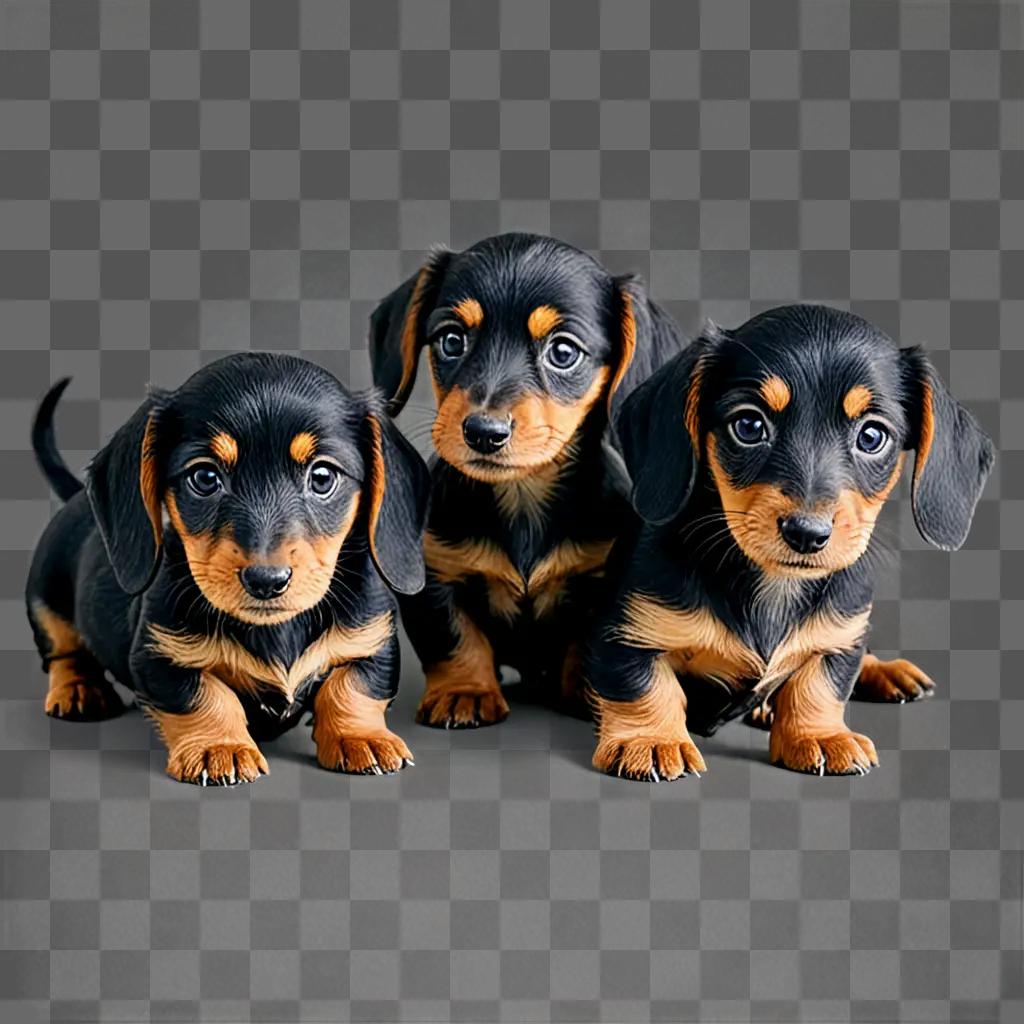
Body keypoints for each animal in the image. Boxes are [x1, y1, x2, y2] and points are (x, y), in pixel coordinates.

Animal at [25, 352, 430, 782]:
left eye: (323, 477)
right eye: (204, 477)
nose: (266, 581)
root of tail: (76, 497)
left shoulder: (372, 638)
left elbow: (353, 685)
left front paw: (361, 737)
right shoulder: (159, 653)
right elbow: (205, 695)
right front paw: (218, 747)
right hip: (44, 599)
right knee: (63, 653)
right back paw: (78, 689)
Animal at [368, 232, 679, 729]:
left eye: (563, 352)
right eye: (451, 340)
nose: (483, 432)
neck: (522, 496)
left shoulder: (603, 579)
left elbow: (584, 642)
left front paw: (586, 693)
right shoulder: (435, 574)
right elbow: (454, 638)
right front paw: (465, 690)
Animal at [585, 303, 991, 774]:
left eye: (872, 436)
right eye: (748, 425)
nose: (807, 533)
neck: (773, 587)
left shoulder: (841, 634)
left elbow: (820, 682)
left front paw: (820, 735)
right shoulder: (628, 629)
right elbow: (642, 685)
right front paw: (649, 740)